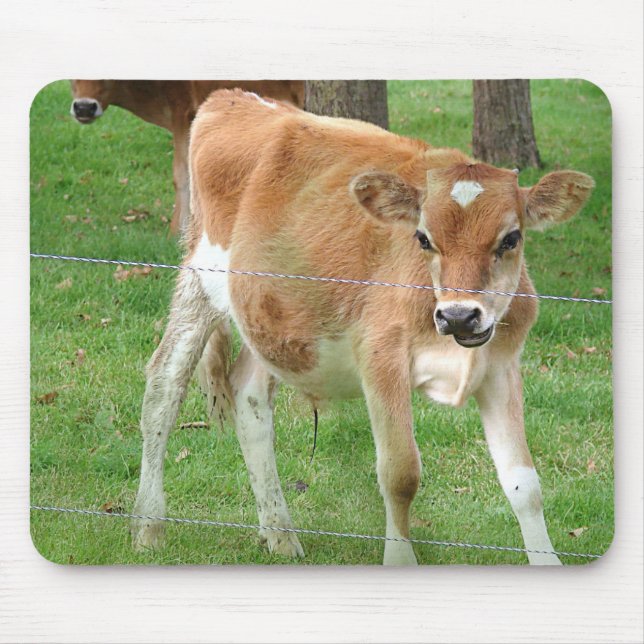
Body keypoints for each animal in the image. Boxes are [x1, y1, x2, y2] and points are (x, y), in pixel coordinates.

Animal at [131, 88, 594, 565]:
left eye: (511, 238)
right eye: (423, 238)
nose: (459, 315)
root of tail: (233, 97)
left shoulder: (501, 367)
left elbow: (525, 483)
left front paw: (546, 560)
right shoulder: (380, 360)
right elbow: (400, 473)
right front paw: (400, 560)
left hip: (271, 315)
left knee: (249, 395)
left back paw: (280, 533)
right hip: (201, 277)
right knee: (164, 386)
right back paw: (149, 526)